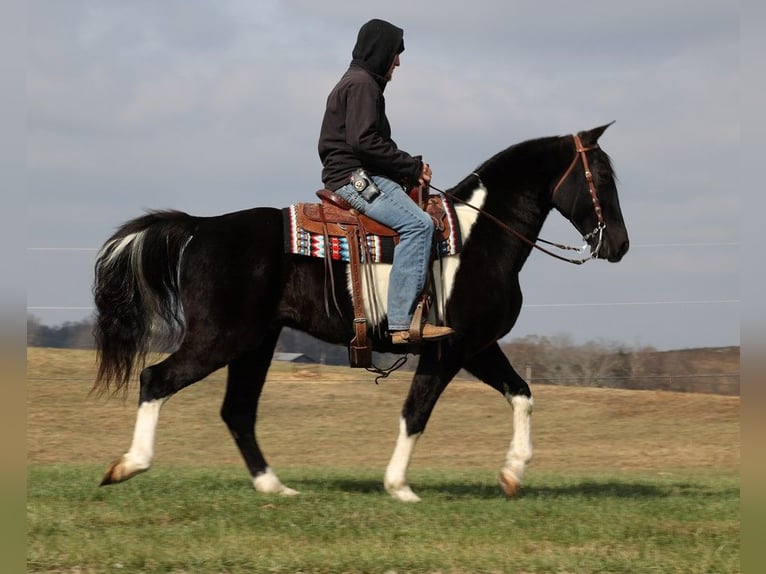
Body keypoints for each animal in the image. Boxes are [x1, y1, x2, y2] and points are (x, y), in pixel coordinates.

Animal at [91, 124, 632, 502]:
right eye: (603, 177)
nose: (620, 246)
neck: (479, 236)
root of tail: (201, 227)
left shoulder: (477, 347)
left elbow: (522, 395)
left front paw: (512, 473)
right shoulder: (449, 349)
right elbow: (416, 411)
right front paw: (399, 486)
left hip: (255, 344)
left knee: (237, 410)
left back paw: (274, 487)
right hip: (220, 339)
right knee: (157, 379)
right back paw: (128, 465)